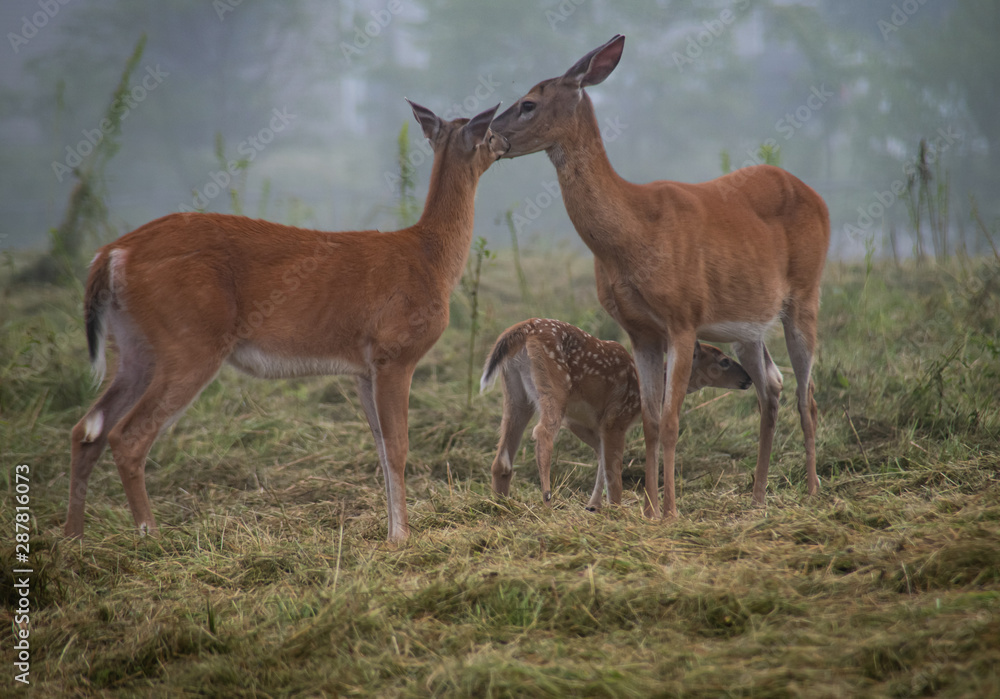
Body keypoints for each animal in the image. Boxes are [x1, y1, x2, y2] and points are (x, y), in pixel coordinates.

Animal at [64, 100, 508, 548]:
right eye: (488, 133)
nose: (505, 142)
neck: (431, 258)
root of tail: (112, 253)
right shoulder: (394, 352)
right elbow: (398, 447)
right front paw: (400, 537)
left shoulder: (363, 369)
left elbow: (382, 448)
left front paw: (391, 530)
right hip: (189, 342)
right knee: (127, 435)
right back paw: (150, 536)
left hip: (135, 348)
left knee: (87, 429)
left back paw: (73, 540)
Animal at [478, 320, 752, 512]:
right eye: (724, 361)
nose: (748, 379)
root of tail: (523, 328)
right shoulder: (616, 417)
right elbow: (613, 466)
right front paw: (615, 508)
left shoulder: (589, 423)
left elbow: (602, 459)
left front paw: (594, 506)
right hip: (554, 387)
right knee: (542, 433)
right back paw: (547, 500)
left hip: (517, 393)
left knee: (503, 453)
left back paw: (501, 503)